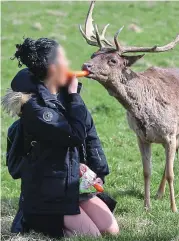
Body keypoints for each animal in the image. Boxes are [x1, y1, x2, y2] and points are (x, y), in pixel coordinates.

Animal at [79, 0, 179, 212]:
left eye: (113, 60)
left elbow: (171, 173)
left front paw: (174, 208)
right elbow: (147, 171)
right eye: (94, 53)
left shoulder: (170, 133)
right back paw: (159, 194)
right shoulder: (141, 136)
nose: (86, 65)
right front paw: (147, 205)